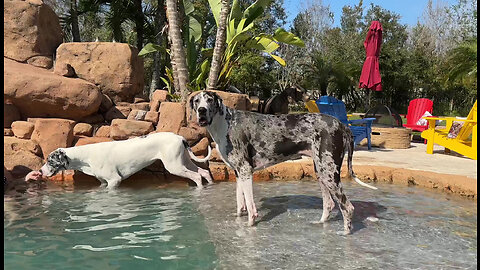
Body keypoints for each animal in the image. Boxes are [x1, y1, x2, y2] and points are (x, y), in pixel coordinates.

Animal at [40, 132, 213, 189]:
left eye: (50, 161)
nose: (40, 171)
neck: (86, 156)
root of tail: (180, 137)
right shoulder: (103, 182)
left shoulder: (114, 181)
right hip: (184, 162)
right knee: (204, 172)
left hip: (175, 166)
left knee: (197, 176)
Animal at [189, 91, 376, 234]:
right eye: (197, 100)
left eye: (209, 99)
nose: (202, 111)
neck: (226, 123)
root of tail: (342, 125)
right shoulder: (238, 173)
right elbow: (240, 202)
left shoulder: (245, 171)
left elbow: (250, 206)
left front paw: (249, 226)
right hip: (322, 172)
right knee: (329, 204)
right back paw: (320, 223)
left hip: (329, 173)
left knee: (347, 207)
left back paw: (345, 233)